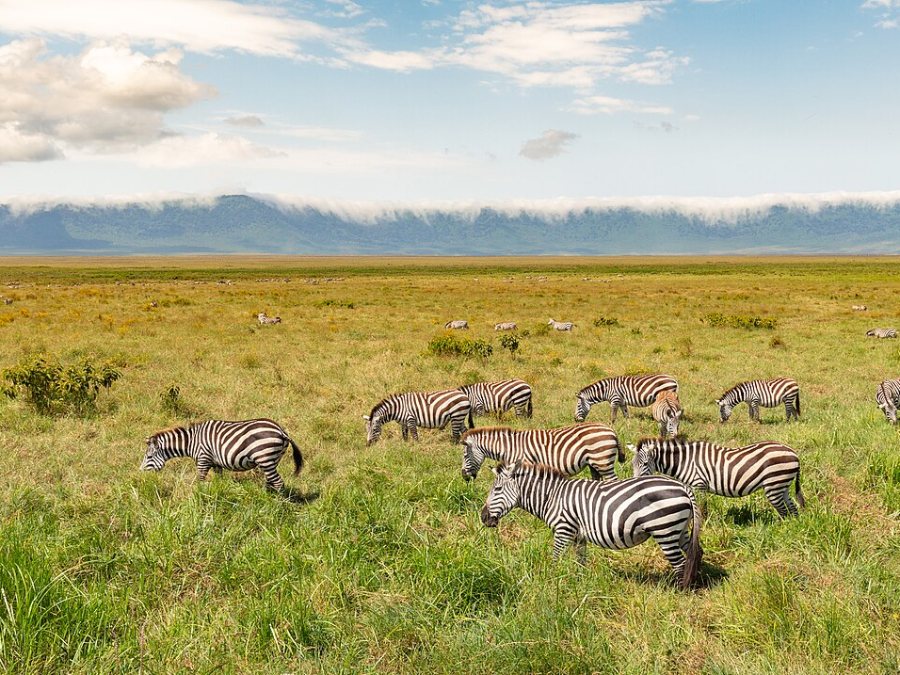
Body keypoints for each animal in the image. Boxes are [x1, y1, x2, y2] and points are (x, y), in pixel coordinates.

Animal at [140, 418, 303, 491]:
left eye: (149, 457)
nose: (140, 472)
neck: (192, 441)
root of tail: (281, 431)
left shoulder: (203, 460)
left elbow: (200, 481)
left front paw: (199, 497)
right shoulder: (216, 463)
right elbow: (219, 480)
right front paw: (219, 494)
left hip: (265, 458)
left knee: (278, 482)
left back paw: (277, 505)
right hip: (272, 460)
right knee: (271, 481)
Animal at [460, 422, 623, 482]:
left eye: (465, 455)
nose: (464, 477)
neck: (510, 447)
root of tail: (610, 429)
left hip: (602, 461)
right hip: (593, 464)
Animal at [480, 462, 702, 589]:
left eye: (497, 489)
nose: (483, 517)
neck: (552, 497)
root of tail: (683, 487)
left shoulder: (563, 529)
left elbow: (555, 558)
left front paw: (552, 582)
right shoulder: (578, 535)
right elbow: (580, 561)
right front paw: (580, 584)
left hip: (665, 530)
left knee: (680, 563)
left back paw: (679, 591)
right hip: (679, 530)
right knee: (696, 552)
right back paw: (694, 584)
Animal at [630, 437, 805, 518]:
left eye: (645, 463)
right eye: (632, 464)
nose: (636, 482)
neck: (684, 461)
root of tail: (793, 453)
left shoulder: (699, 484)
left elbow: (701, 508)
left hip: (774, 485)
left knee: (784, 511)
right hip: (782, 485)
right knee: (792, 509)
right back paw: (792, 527)